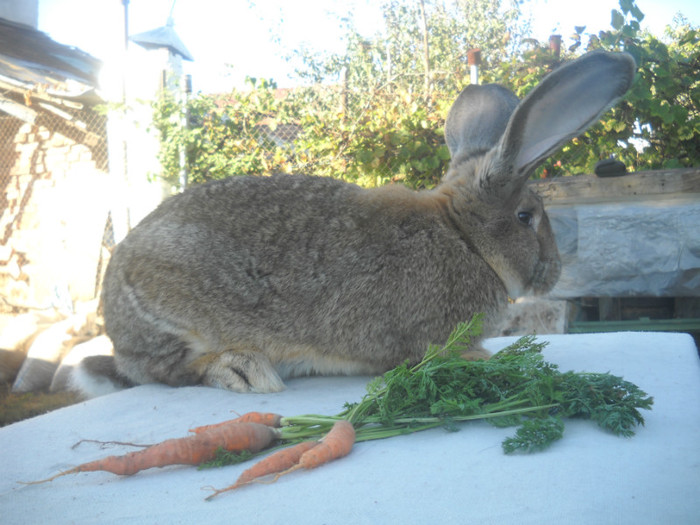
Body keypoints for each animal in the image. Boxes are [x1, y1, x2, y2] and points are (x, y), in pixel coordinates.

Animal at [80, 51, 636, 392]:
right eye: (526, 217)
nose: (554, 274)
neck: (464, 237)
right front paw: (485, 361)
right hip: (171, 311)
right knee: (165, 369)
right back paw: (242, 370)